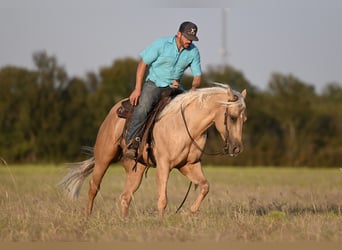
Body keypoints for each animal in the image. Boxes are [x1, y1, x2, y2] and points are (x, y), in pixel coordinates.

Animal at [58, 83, 246, 218]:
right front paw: (162, 222)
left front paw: (188, 212)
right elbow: (163, 198)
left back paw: (124, 221)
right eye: (232, 117)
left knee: (125, 197)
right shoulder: (164, 165)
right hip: (104, 158)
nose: (236, 148)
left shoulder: (189, 165)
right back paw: (88, 216)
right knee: (93, 187)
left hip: (136, 169)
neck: (186, 125)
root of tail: (113, 111)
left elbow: (205, 186)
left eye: (244, 119)